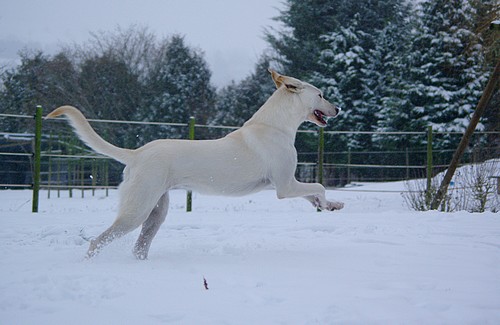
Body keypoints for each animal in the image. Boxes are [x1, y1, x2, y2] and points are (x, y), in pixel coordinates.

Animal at [46, 70, 344, 258]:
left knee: (139, 247)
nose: (338, 109)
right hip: (137, 210)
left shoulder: (286, 184)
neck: (275, 126)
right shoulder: (284, 186)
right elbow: (318, 185)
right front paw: (327, 202)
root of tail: (136, 153)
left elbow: (314, 194)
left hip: (156, 212)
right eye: (320, 94)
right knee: (96, 242)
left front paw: (329, 205)